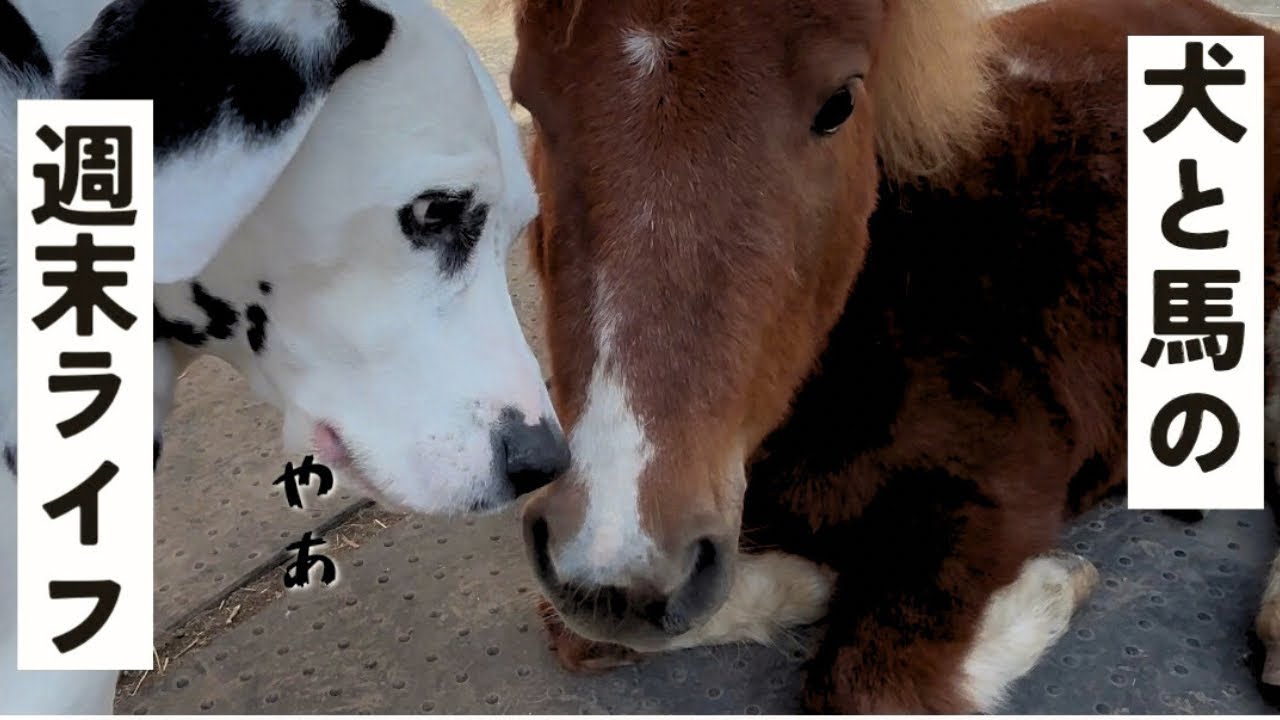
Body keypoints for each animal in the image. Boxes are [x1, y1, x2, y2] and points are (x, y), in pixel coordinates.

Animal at [509, 0, 1280, 712]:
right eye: (527, 100)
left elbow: (870, 685)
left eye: (838, 105)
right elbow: (577, 631)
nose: (617, 553)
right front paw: (809, 582)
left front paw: (1051, 587)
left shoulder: (998, 492)